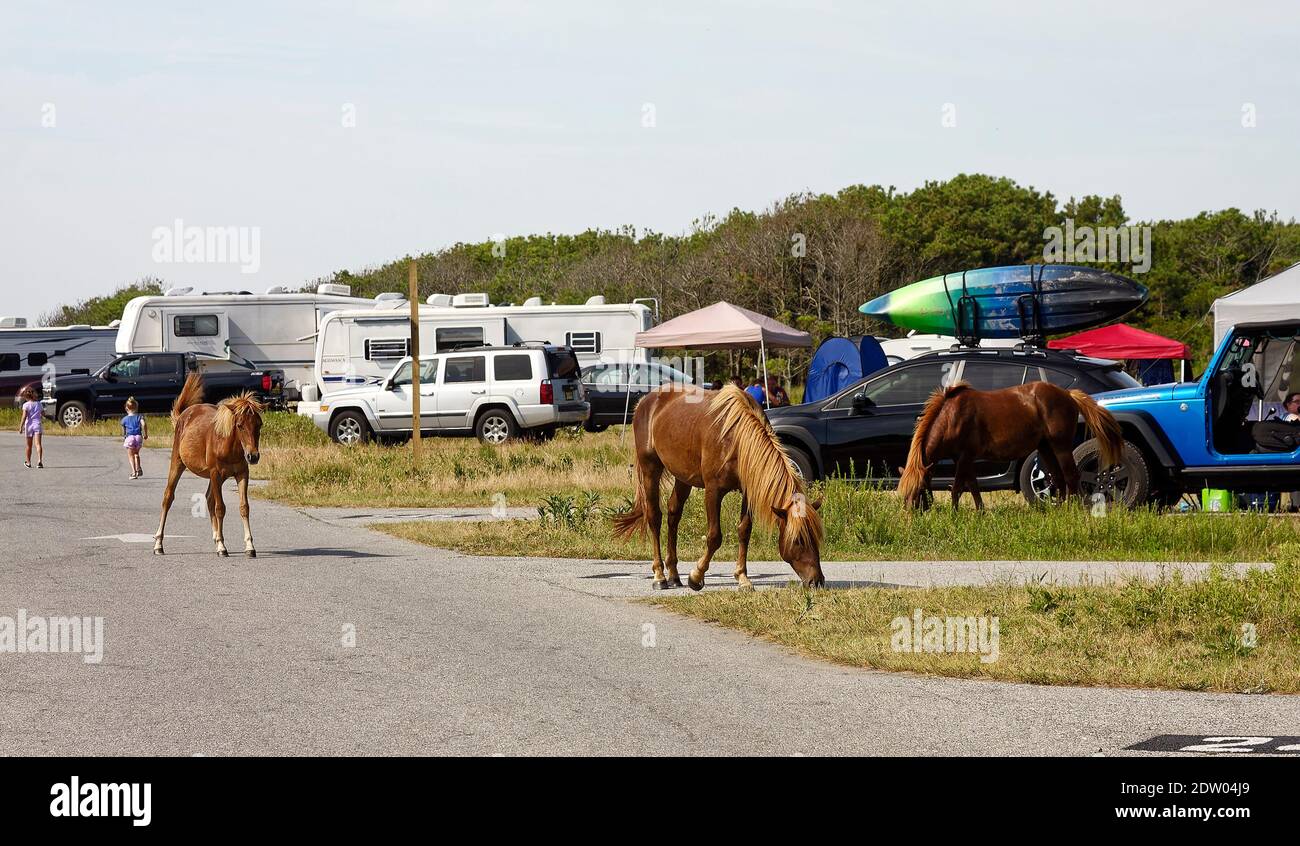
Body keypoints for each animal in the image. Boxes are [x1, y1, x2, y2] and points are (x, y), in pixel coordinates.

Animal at [154, 373, 266, 557]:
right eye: (240, 425)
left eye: (259, 425)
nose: (253, 456)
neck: (227, 446)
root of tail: (183, 415)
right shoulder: (215, 474)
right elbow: (220, 508)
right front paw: (222, 547)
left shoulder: (242, 474)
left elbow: (244, 507)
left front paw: (249, 547)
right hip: (178, 464)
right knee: (168, 498)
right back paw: (158, 544)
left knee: (208, 499)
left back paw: (216, 538)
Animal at [612, 383, 825, 591]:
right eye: (798, 540)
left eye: (816, 537)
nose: (816, 581)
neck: (736, 438)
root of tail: (645, 401)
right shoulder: (713, 491)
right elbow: (714, 537)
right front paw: (696, 576)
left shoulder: (748, 492)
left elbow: (744, 531)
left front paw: (742, 578)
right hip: (650, 469)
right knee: (654, 518)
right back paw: (659, 576)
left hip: (683, 478)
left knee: (673, 515)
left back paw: (673, 574)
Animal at [898, 380, 1122, 511]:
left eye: (919, 489)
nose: (909, 518)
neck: (952, 416)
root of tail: (1068, 395)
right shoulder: (963, 458)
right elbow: (973, 487)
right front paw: (981, 513)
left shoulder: (965, 456)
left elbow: (958, 488)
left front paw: (954, 515)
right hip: (1045, 447)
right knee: (1058, 479)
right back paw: (1056, 511)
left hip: (1061, 446)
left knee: (1071, 477)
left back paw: (1070, 511)